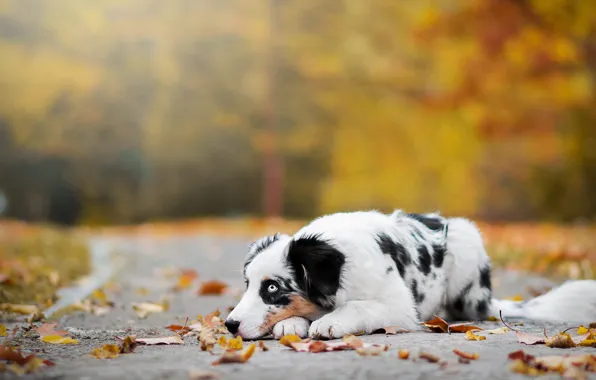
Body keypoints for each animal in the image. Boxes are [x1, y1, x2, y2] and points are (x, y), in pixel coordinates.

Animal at [225, 211, 596, 338]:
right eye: (248, 285)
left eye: (273, 288)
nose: (229, 324)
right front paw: (291, 324)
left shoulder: (399, 306)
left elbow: (358, 306)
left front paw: (330, 322)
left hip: (466, 249)